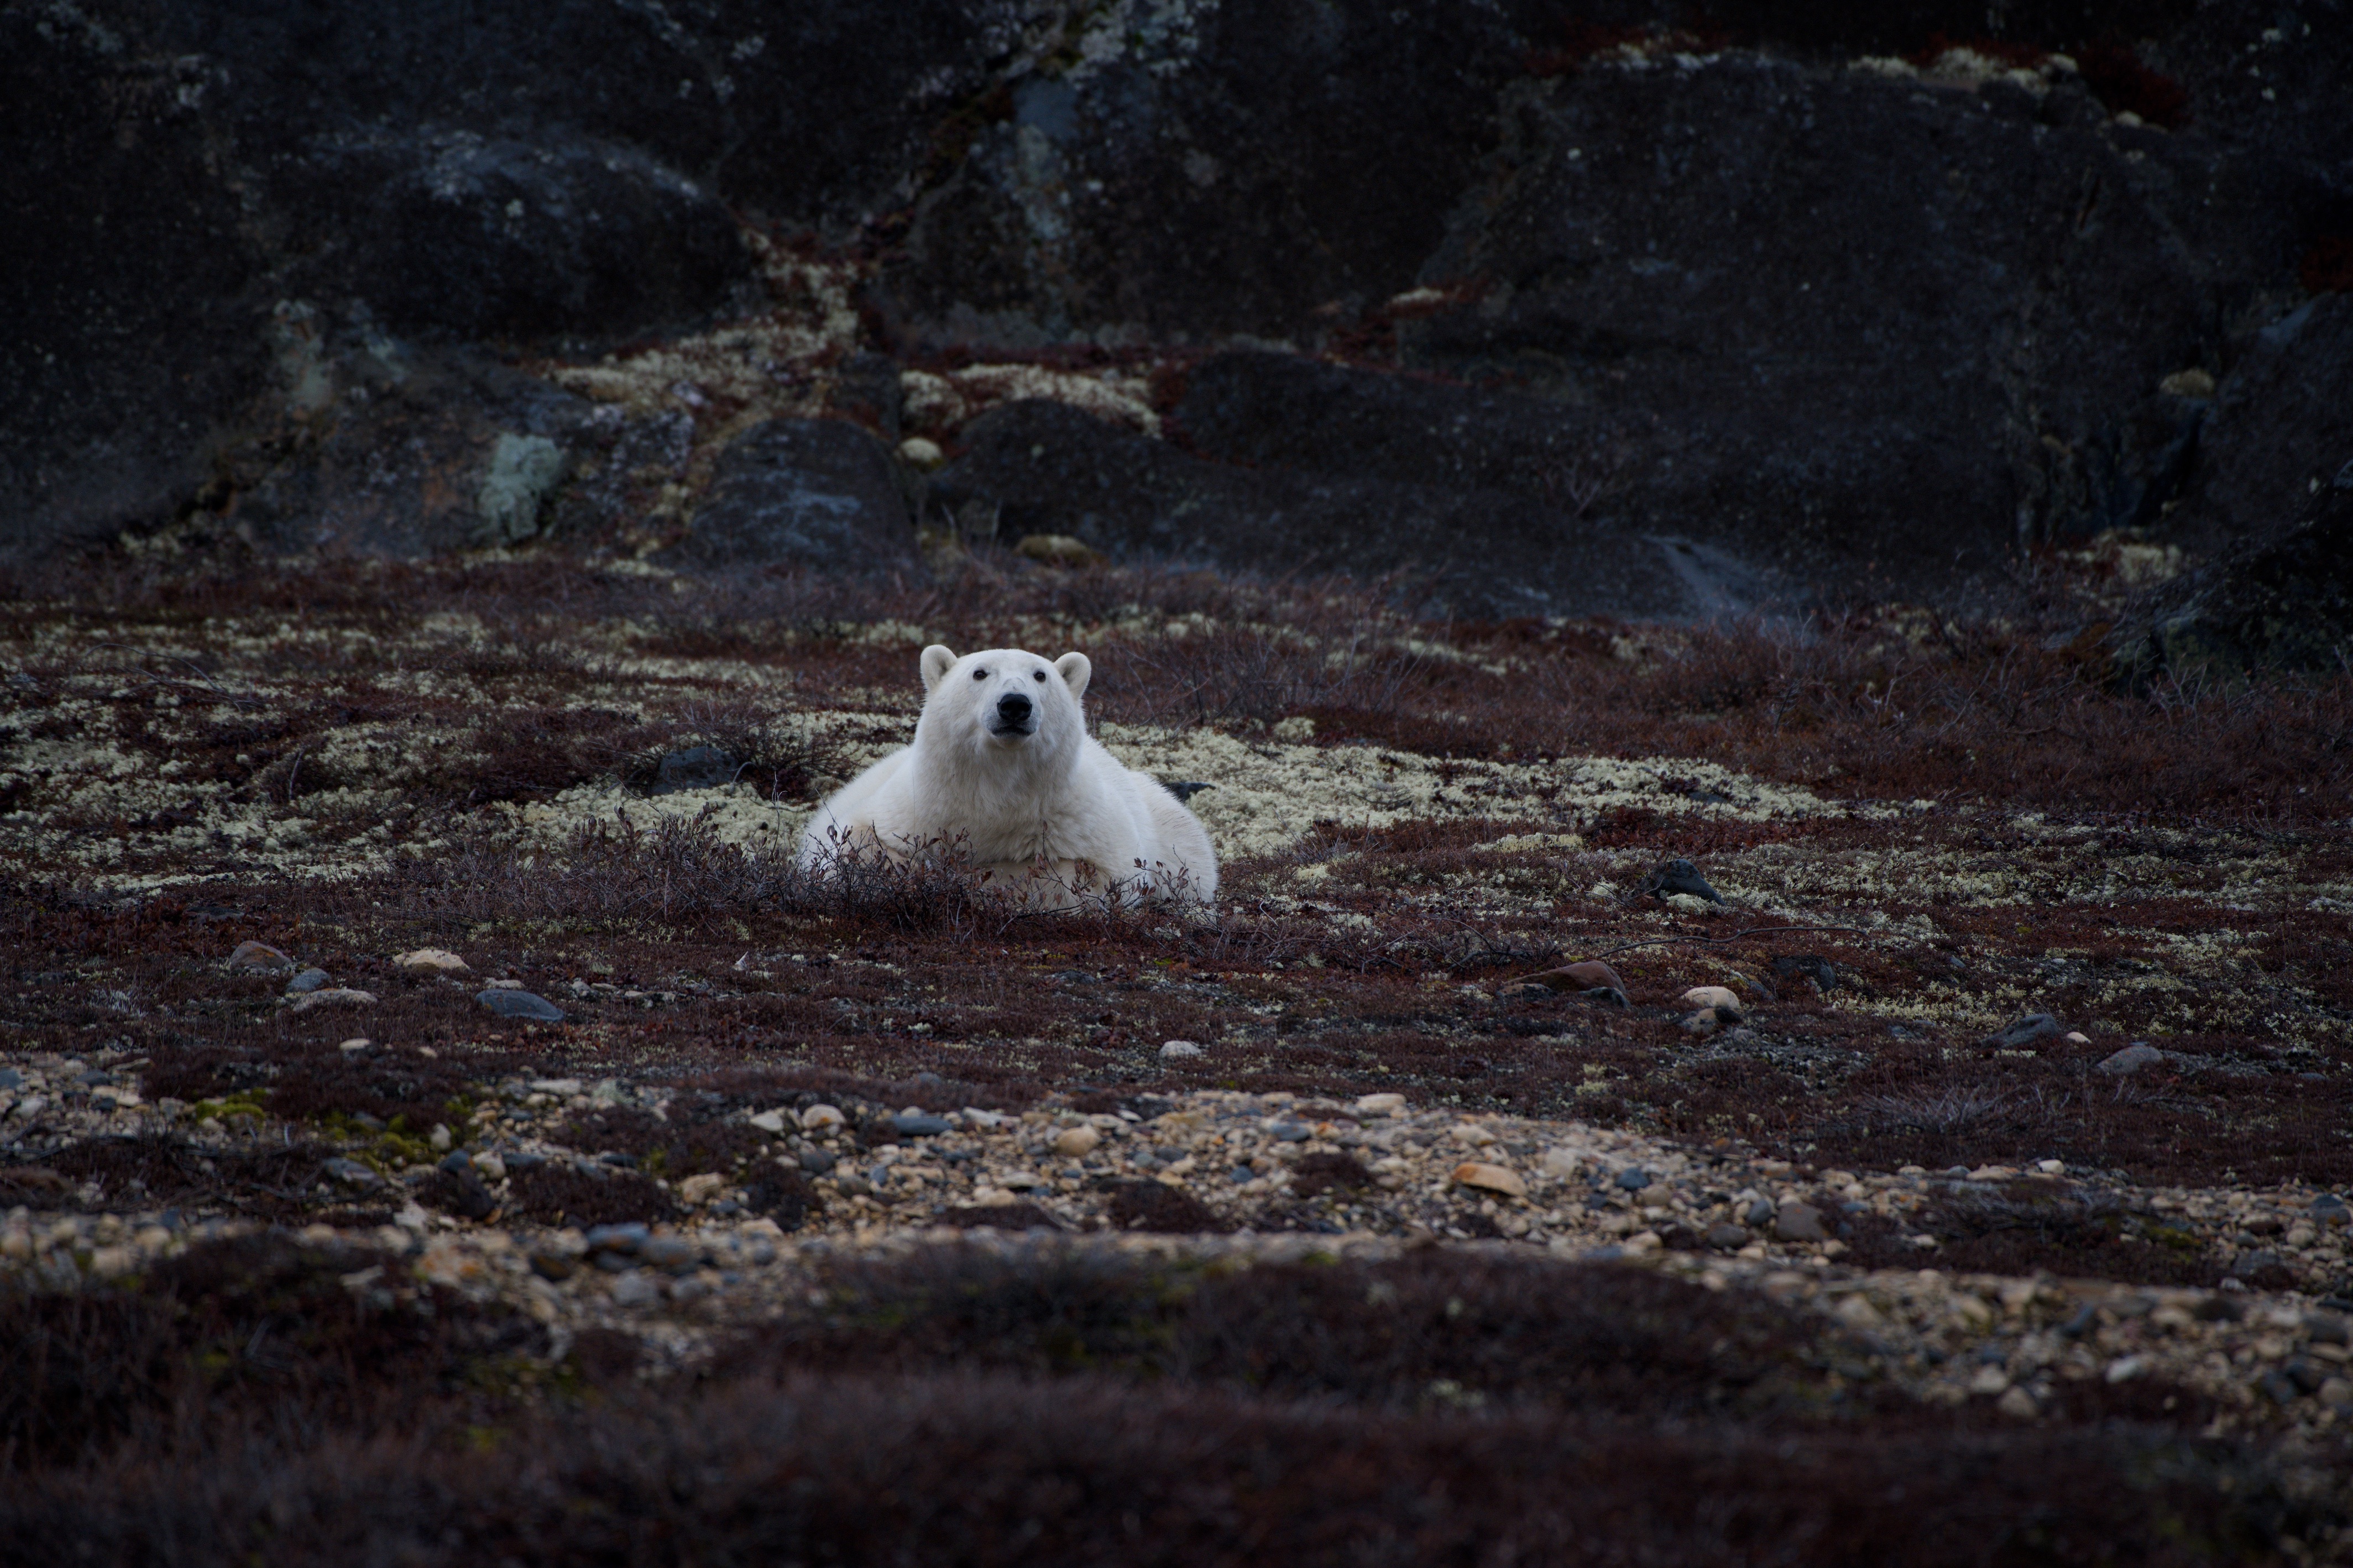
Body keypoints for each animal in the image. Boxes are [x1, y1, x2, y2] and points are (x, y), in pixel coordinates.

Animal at [798, 644, 1217, 906]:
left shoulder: (1086, 827)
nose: (1015, 704)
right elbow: (851, 846)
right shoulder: (913, 807)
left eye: (1041, 675)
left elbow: (1082, 877)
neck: (998, 788)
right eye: (979, 673)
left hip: (1172, 828)